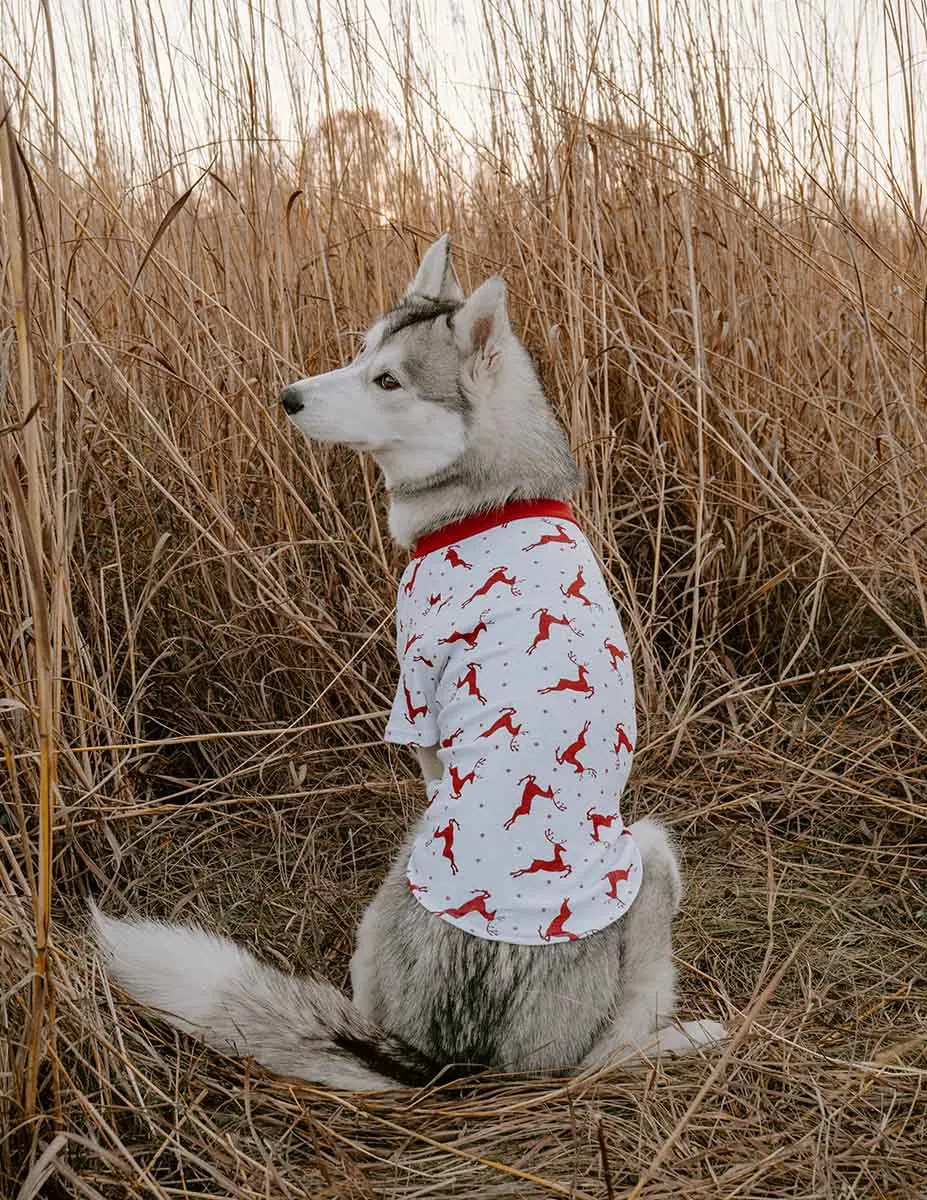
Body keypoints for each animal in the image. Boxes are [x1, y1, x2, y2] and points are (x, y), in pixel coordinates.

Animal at [92, 234, 725, 1089]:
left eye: (388, 380)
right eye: (360, 352)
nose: (287, 397)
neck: (492, 501)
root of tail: (450, 1060)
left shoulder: (417, 702)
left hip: (647, 850)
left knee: (608, 1051)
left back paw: (681, 1038)